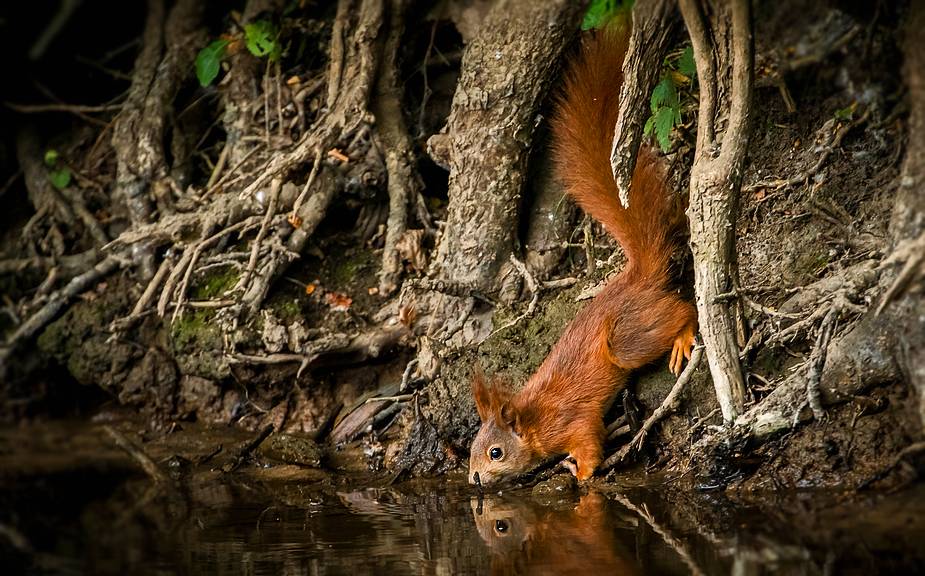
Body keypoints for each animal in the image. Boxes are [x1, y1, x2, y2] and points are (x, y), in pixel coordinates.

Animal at [466, 21, 696, 486]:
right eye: (471, 450)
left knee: (683, 309)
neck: (534, 420)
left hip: (626, 337)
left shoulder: (572, 420)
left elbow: (589, 438)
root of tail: (638, 274)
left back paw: (685, 337)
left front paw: (582, 473)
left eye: (496, 453)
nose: (474, 479)